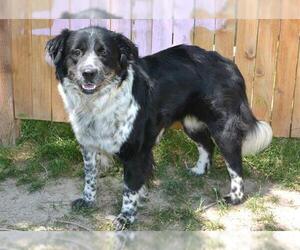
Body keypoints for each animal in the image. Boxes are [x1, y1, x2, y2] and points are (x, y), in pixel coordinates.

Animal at [45, 26, 274, 229]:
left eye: (104, 53)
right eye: (76, 52)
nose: (88, 73)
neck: (98, 102)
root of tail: (228, 63)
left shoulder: (135, 153)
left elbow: (129, 189)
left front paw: (126, 217)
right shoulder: (88, 146)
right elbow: (90, 177)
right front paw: (88, 200)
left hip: (223, 129)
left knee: (234, 162)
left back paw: (235, 196)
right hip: (191, 123)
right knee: (207, 145)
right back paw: (199, 170)